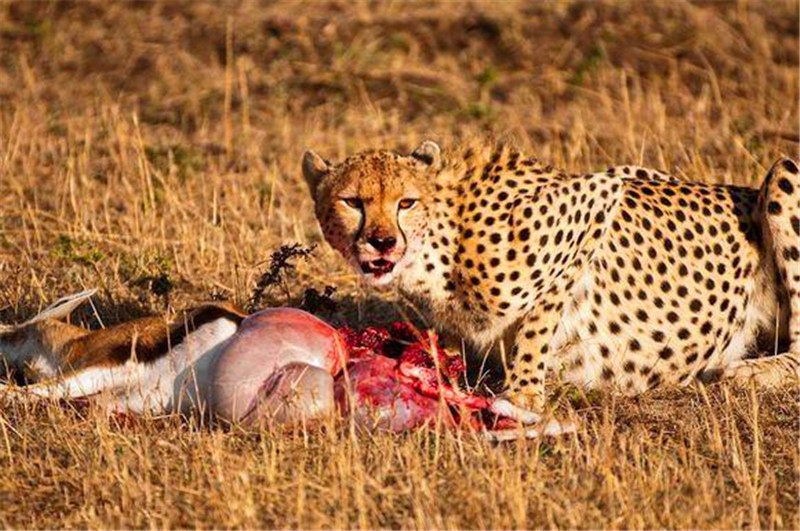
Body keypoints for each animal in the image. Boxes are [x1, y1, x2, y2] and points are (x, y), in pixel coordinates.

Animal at [302, 142, 800, 416]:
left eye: (405, 202)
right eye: (352, 202)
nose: (382, 242)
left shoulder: (598, 198)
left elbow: (538, 323)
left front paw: (523, 394)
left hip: (785, 172)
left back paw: (750, 372)